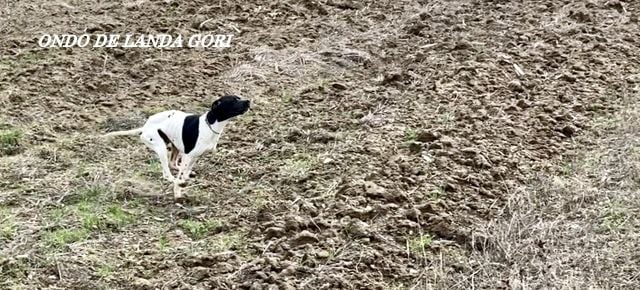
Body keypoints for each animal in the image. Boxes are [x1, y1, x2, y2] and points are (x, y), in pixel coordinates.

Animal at [102, 95, 250, 197]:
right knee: (167, 173)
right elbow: (181, 175)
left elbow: (186, 171)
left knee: (173, 163)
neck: (211, 124)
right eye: (233, 101)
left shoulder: (194, 157)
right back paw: (175, 181)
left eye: (238, 97)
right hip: (161, 147)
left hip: (175, 146)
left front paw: (185, 180)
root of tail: (145, 127)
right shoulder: (187, 156)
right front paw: (178, 191)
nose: (248, 101)